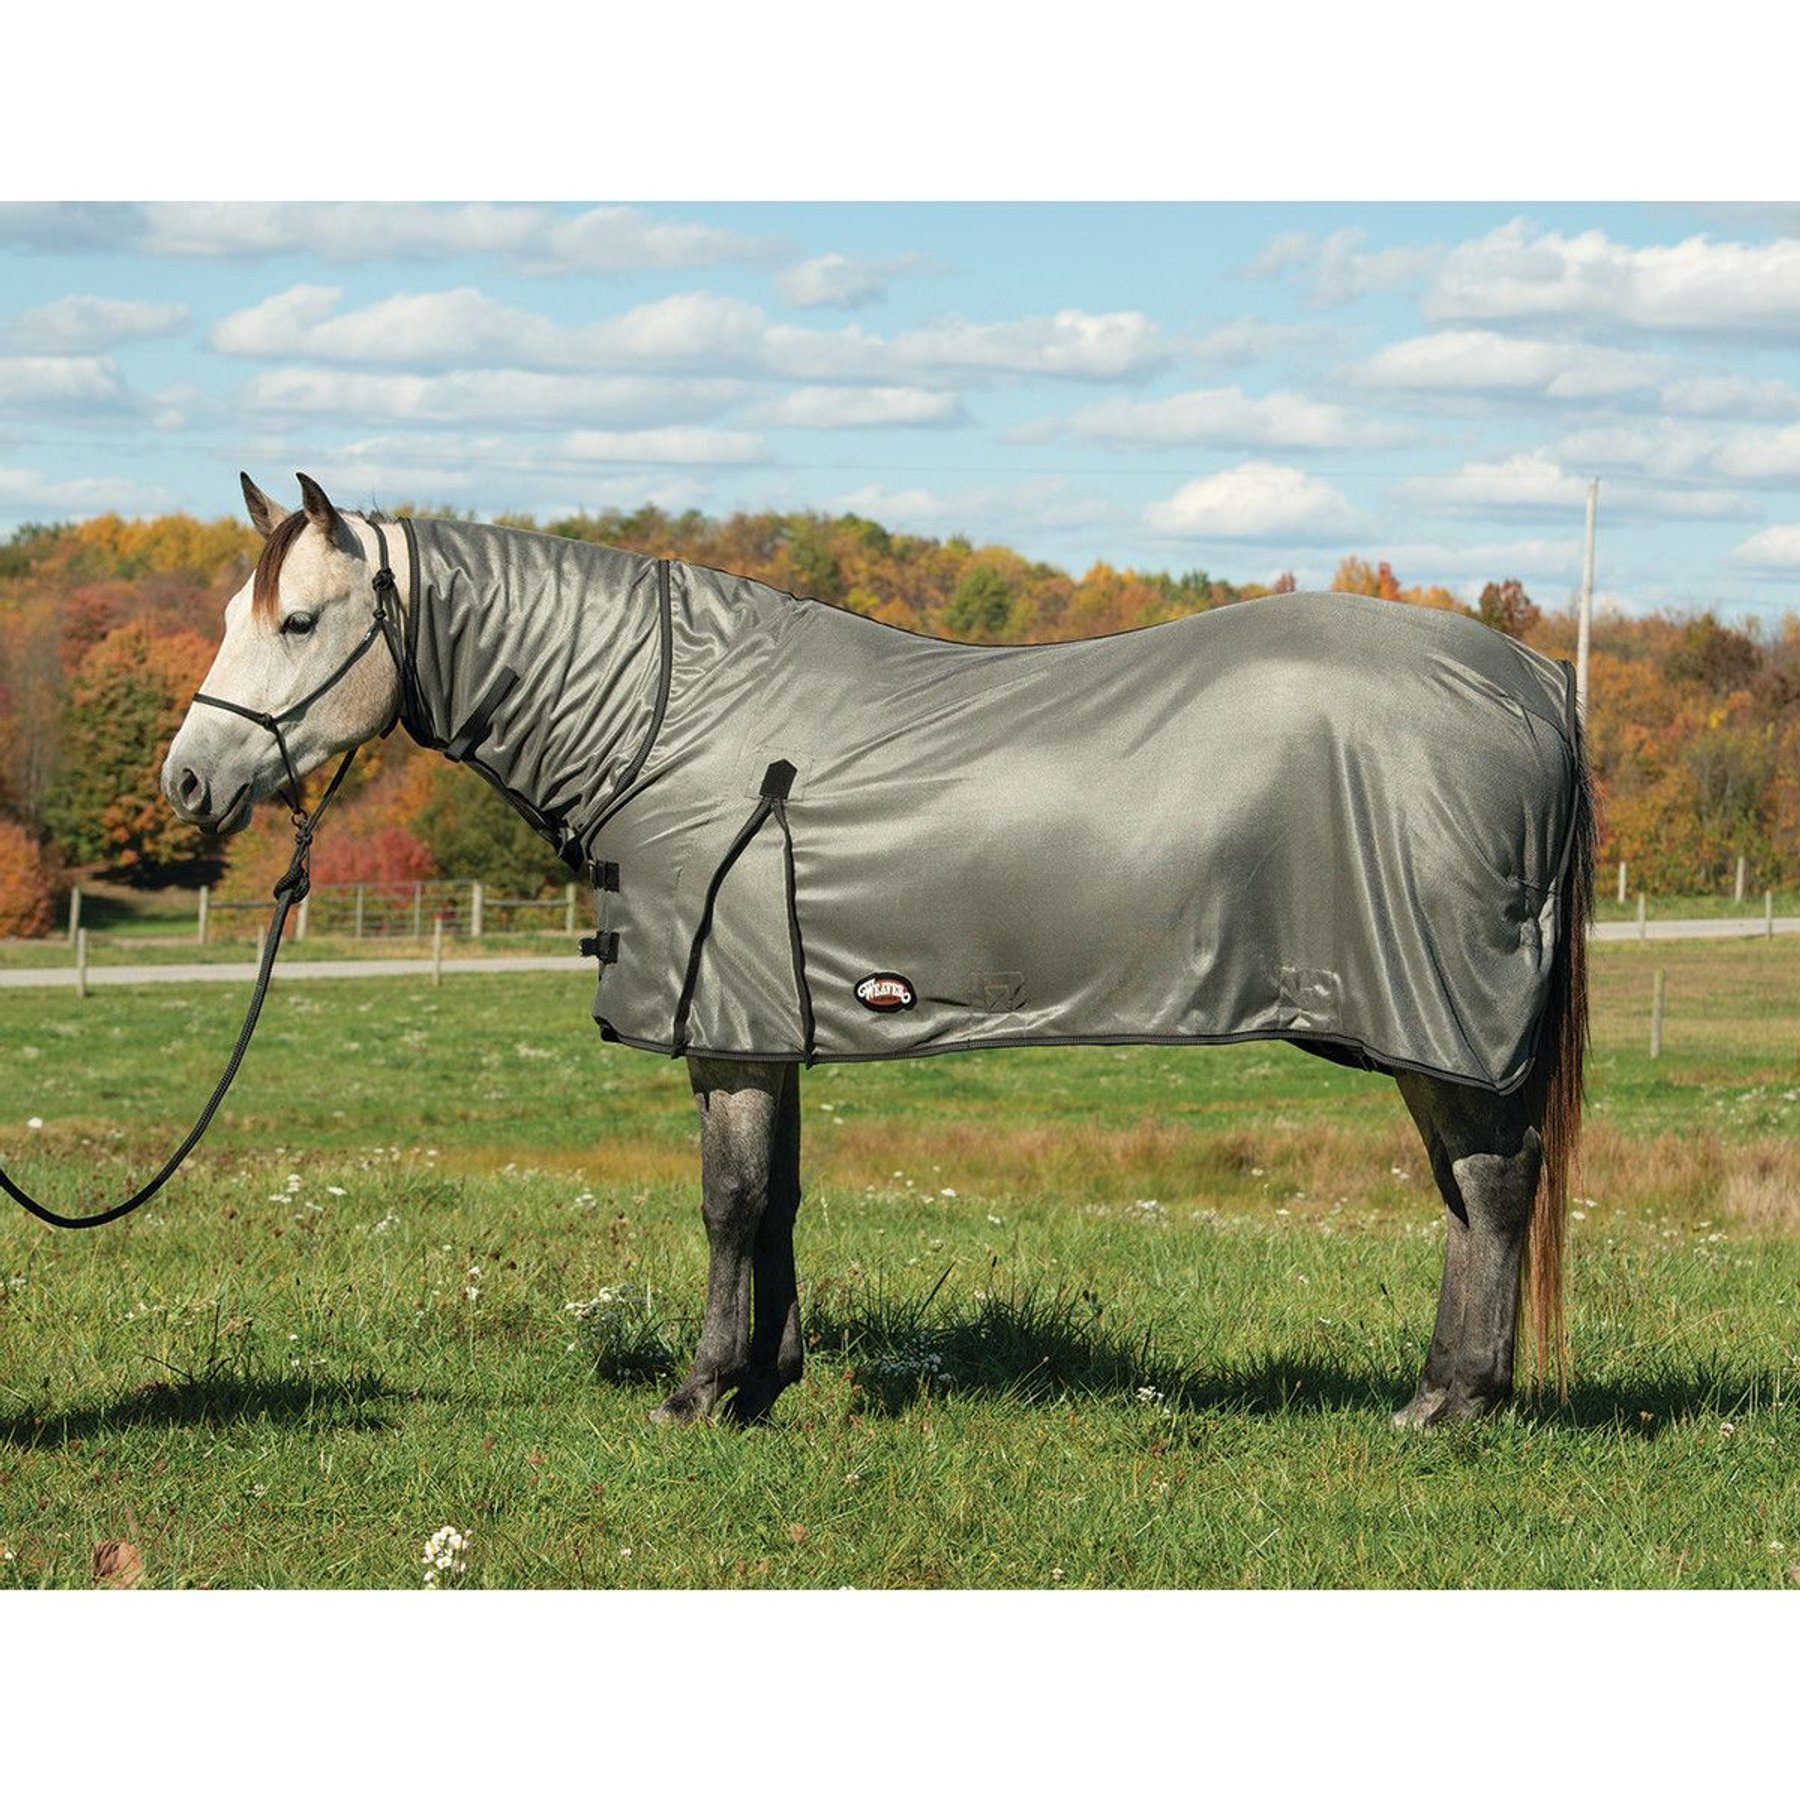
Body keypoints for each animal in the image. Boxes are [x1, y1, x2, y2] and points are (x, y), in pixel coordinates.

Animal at [163, 473, 1593, 1430]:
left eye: (299, 624)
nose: (186, 781)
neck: (672, 718)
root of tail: (1532, 680)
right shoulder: (761, 1019)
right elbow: (779, 1197)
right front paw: (765, 1383)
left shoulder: (727, 1025)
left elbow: (729, 1203)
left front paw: (699, 1392)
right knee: (1471, 1192)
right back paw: (1450, 1392)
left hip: (1437, 1018)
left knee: (1492, 1187)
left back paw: (1451, 1404)